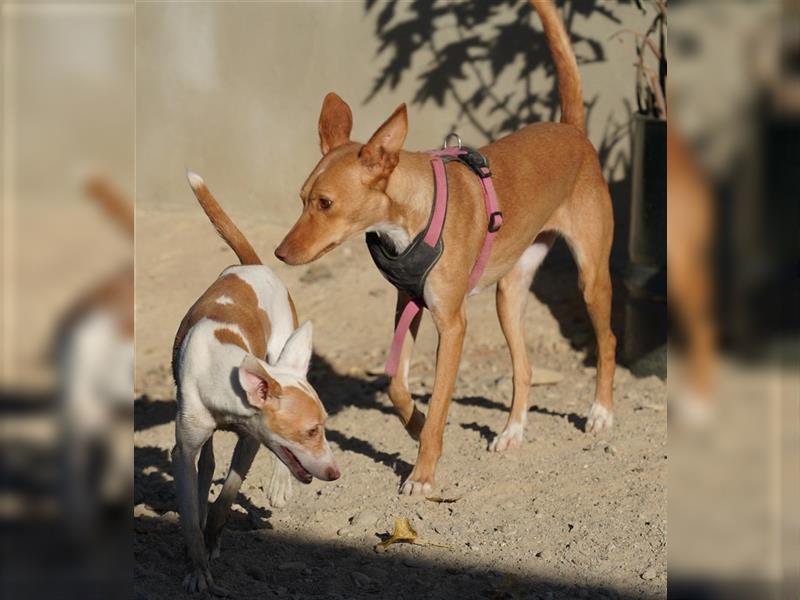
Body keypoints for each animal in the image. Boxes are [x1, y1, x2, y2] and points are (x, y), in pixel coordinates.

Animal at [173, 173, 340, 596]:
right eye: (310, 431)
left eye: (324, 428)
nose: (335, 474)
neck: (223, 367)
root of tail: (252, 265)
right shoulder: (183, 450)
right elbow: (191, 514)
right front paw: (197, 568)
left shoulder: (250, 440)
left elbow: (227, 497)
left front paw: (213, 541)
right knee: (208, 462)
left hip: (283, 348)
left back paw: (280, 485)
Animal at [274, 1, 612, 496]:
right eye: (301, 198)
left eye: (325, 203)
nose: (280, 253)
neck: (412, 217)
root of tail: (572, 130)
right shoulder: (408, 303)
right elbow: (396, 382)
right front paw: (414, 426)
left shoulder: (452, 324)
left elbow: (438, 403)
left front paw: (423, 471)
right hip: (509, 294)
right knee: (524, 367)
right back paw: (512, 431)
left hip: (590, 277)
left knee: (607, 341)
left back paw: (601, 412)